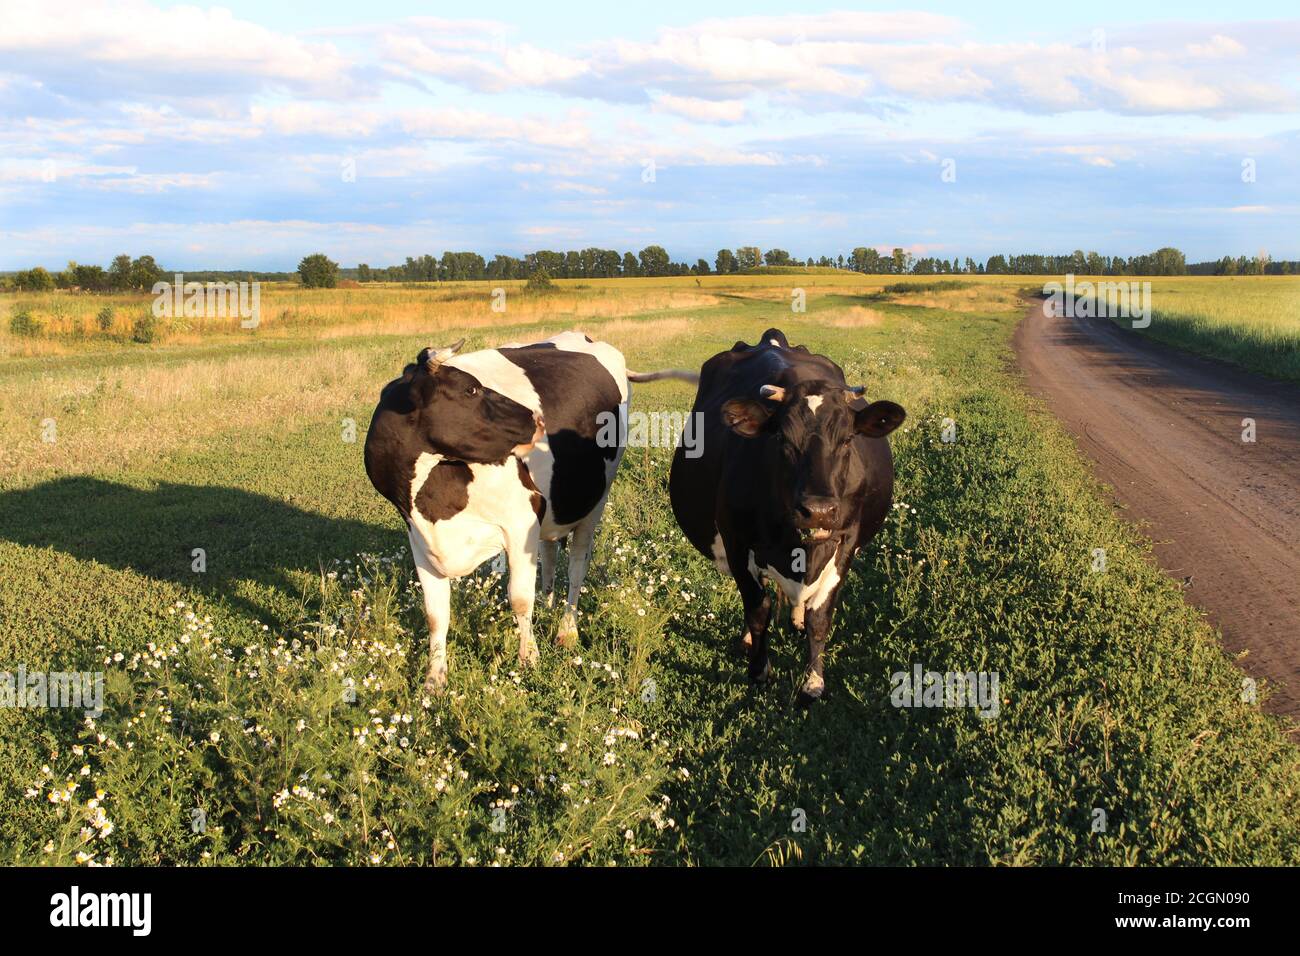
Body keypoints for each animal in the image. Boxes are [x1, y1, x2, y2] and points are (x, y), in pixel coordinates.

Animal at [366, 332, 634, 691]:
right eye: (470, 390)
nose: (538, 420)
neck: (434, 502)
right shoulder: (420, 540)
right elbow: (435, 614)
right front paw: (434, 679)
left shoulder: (521, 520)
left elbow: (519, 597)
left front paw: (529, 658)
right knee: (549, 551)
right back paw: (548, 604)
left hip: (595, 500)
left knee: (578, 564)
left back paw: (567, 629)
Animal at [670, 329, 904, 702]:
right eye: (781, 437)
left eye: (847, 439)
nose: (818, 511)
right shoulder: (736, 541)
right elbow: (758, 610)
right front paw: (758, 669)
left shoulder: (846, 540)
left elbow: (820, 615)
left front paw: (813, 680)